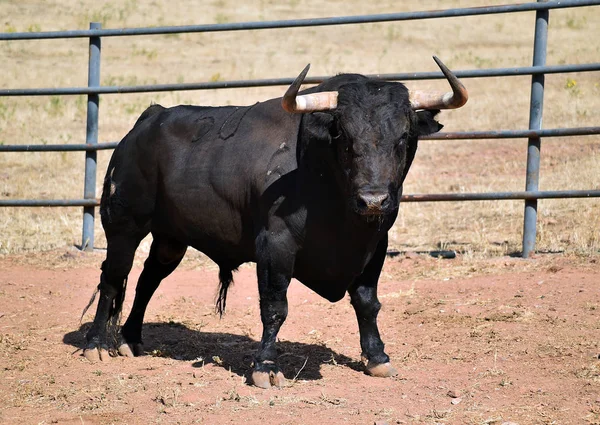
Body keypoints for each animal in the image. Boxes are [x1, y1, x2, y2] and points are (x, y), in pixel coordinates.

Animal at [83, 57, 468, 388]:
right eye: (344, 135)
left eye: (404, 136)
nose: (373, 200)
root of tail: (149, 119)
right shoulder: (274, 245)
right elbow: (274, 307)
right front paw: (266, 366)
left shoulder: (375, 245)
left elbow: (366, 303)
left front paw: (377, 357)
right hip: (123, 226)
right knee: (113, 278)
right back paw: (96, 343)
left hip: (169, 239)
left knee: (147, 280)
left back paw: (131, 339)